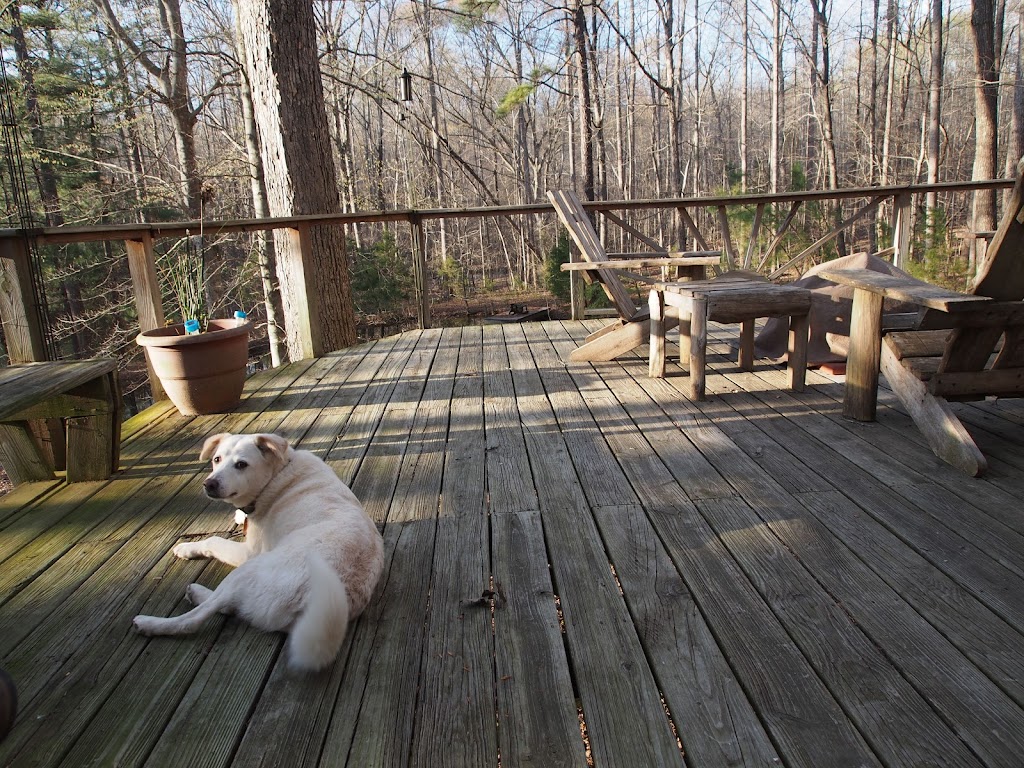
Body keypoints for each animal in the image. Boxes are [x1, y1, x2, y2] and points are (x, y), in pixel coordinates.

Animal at [134, 436, 385, 671]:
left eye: (242, 464)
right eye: (217, 459)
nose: (209, 484)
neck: (279, 473)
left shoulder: (248, 552)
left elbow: (214, 540)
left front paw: (187, 548)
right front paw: (238, 515)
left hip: (246, 571)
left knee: (197, 618)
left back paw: (151, 622)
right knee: (231, 606)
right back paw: (196, 593)